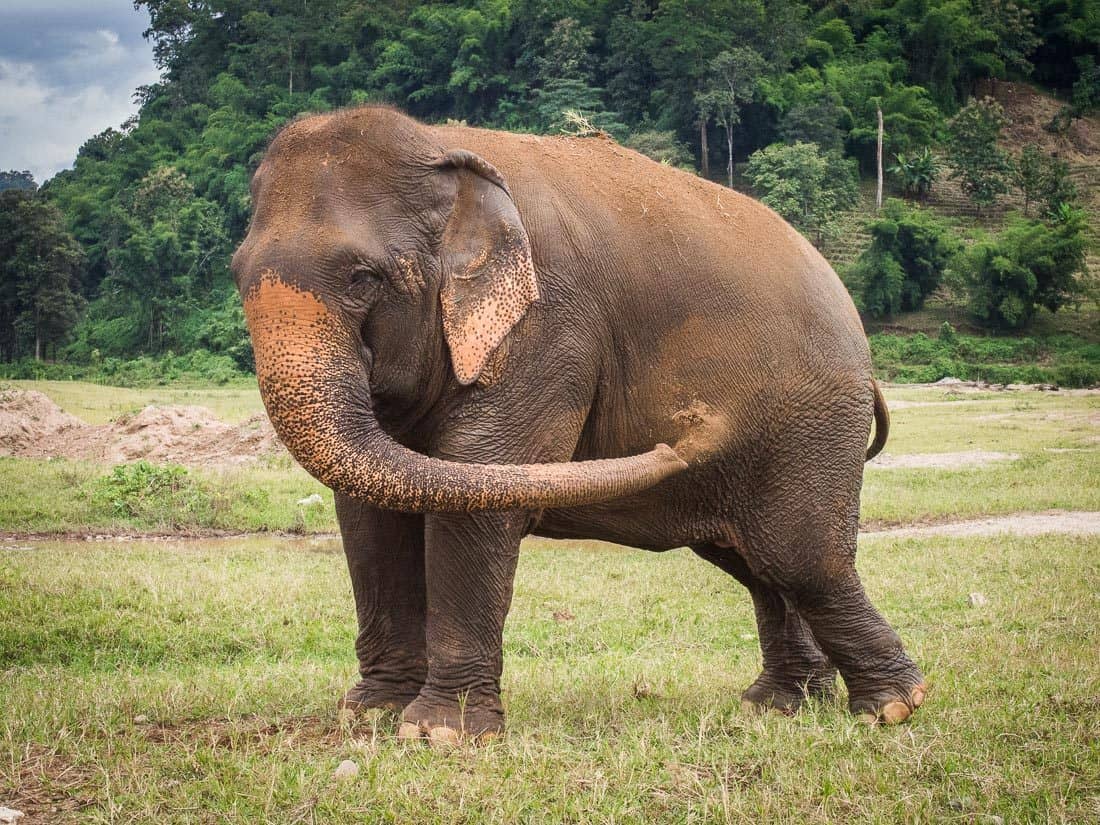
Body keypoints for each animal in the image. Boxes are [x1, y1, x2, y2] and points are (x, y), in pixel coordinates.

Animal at [234, 105, 928, 743]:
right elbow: (371, 514)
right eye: (237, 276)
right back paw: (779, 705)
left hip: (811, 421)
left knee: (801, 558)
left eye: (362, 278)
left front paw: (439, 735)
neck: (439, 146)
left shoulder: (547, 327)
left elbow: (478, 480)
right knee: (756, 564)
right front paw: (371, 715)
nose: (692, 423)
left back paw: (892, 707)